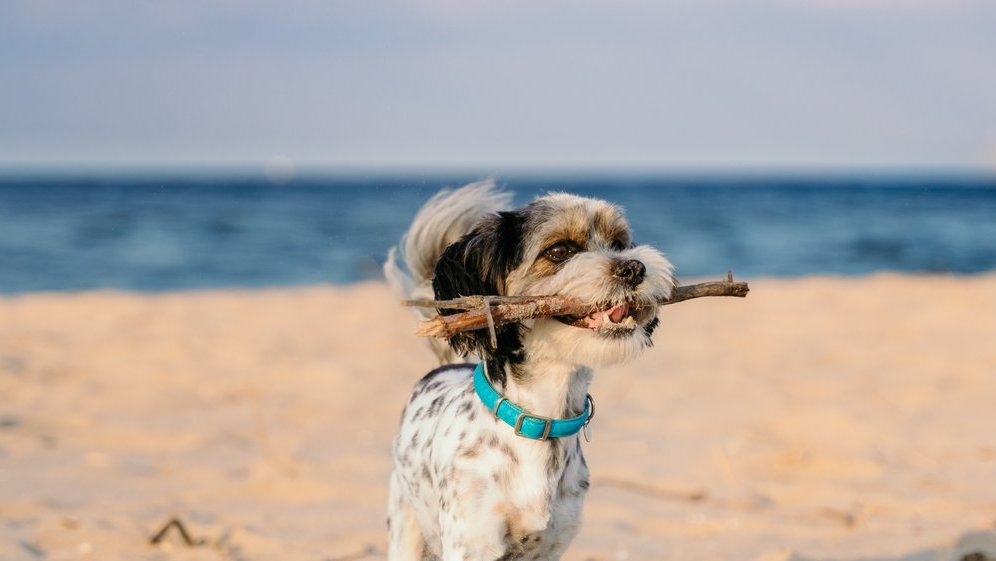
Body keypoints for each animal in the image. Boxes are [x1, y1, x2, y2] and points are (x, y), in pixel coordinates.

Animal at [386, 179, 672, 560]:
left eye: (619, 244)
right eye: (560, 251)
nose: (634, 268)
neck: (541, 420)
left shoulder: (552, 544)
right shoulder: (472, 542)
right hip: (405, 529)